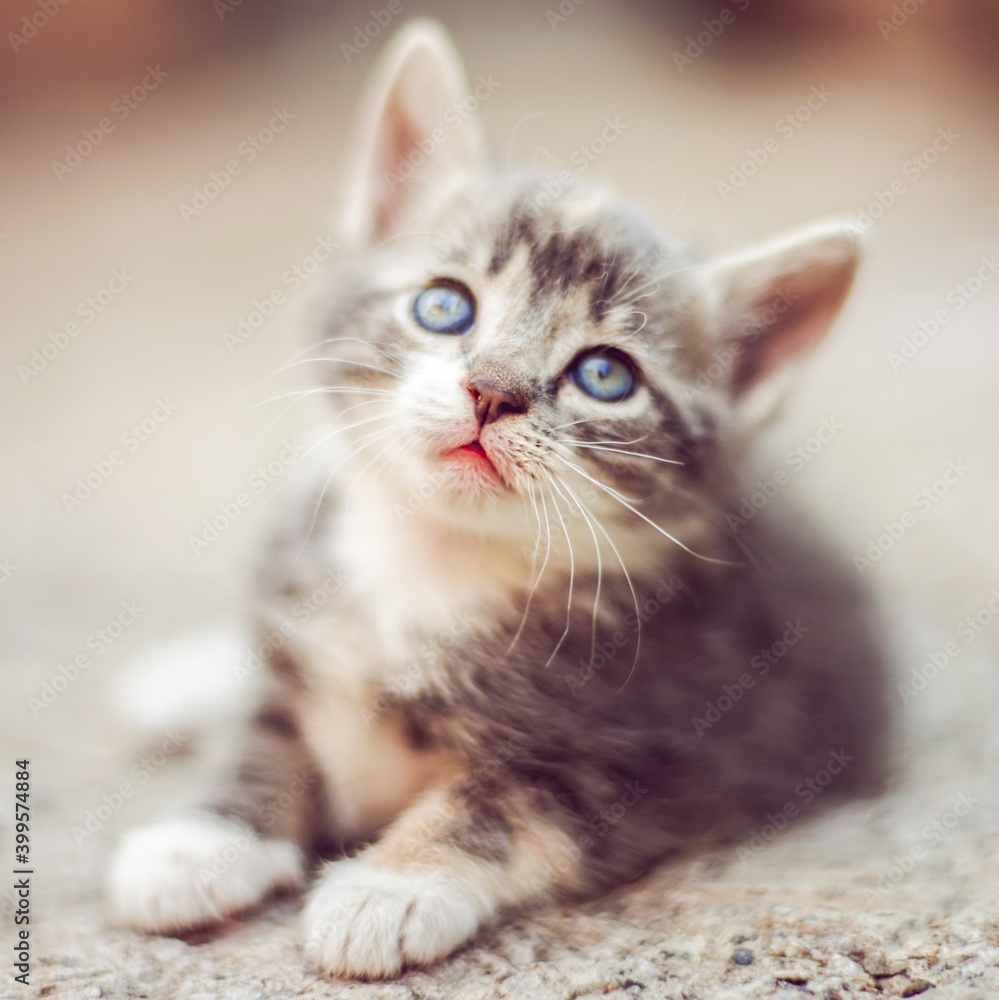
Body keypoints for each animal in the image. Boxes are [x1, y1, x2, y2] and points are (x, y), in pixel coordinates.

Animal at [107, 19, 892, 980]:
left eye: (605, 375)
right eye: (444, 307)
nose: (492, 390)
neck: (433, 560)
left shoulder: (676, 757)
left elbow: (504, 806)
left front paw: (390, 887)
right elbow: (265, 724)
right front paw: (204, 839)